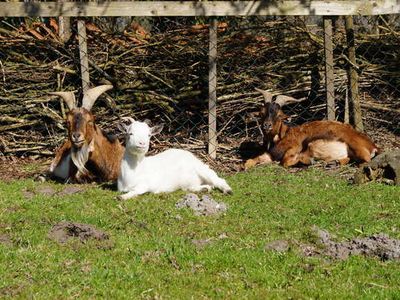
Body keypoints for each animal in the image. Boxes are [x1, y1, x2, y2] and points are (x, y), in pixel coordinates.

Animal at [245, 89, 380, 169]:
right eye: (262, 113)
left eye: (279, 115)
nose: (267, 125)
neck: (283, 135)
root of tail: (373, 146)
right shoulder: (271, 154)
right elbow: (252, 160)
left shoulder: (295, 148)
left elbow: (285, 162)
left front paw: (305, 161)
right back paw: (333, 162)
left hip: (355, 146)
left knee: (365, 160)